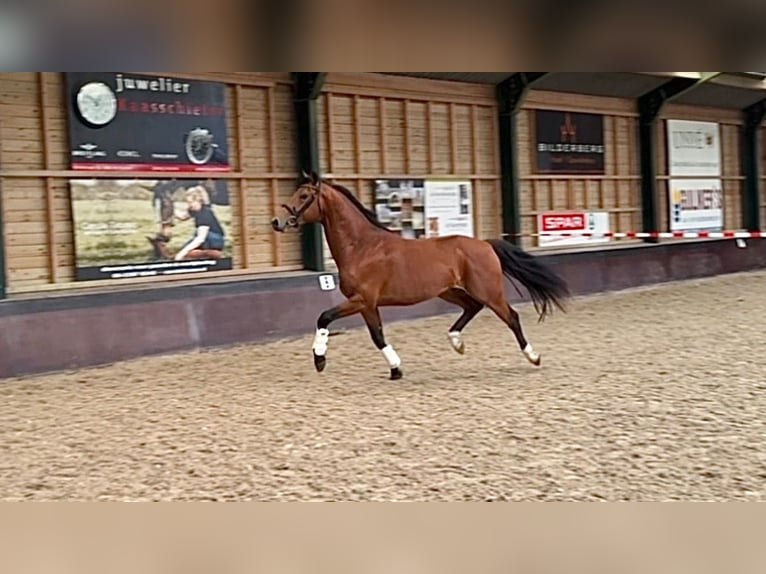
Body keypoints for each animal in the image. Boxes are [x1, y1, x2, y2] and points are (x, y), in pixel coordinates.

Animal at [272, 172, 570, 380]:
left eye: (304, 196)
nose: (277, 221)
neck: (361, 246)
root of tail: (485, 244)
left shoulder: (361, 299)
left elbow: (324, 317)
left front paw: (319, 359)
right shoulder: (369, 305)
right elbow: (377, 336)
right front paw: (396, 370)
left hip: (489, 291)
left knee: (511, 317)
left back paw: (533, 357)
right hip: (449, 291)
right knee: (472, 307)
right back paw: (457, 343)